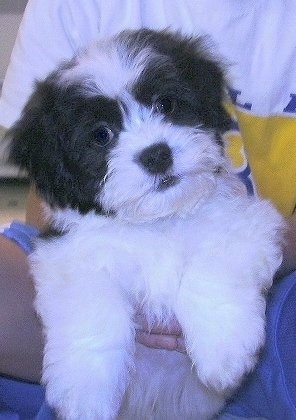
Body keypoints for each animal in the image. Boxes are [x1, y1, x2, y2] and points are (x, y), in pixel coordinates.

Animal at [6, 30, 284, 420]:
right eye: (102, 134)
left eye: (166, 104)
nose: (156, 155)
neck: (156, 222)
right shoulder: (67, 257)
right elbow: (90, 309)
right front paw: (86, 394)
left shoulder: (246, 223)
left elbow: (214, 268)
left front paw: (223, 348)